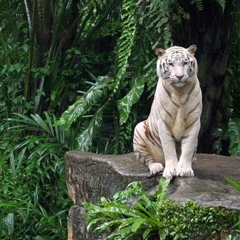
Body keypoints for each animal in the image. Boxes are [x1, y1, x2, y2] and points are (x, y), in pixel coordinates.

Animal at [133, 45, 202, 180]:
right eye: (170, 64)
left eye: (185, 63)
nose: (179, 76)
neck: (180, 92)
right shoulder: (163, 123)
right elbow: (169, 148)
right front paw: (171, 171)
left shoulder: (194, 122)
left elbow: (188, 147)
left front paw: (184, 170)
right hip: (139, 129)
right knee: (147, 159)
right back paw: (156, 167)